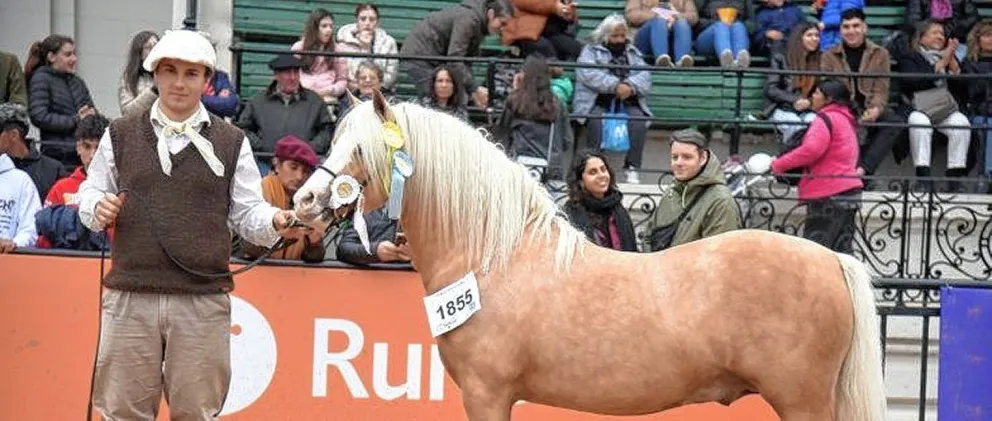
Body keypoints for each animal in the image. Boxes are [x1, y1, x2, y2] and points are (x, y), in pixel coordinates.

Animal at [292, 91, 887, 421]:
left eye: (363, 150)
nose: (306, 201)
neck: (493, 257)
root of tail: (834, 260)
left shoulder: (488, 394)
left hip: (803, 401)